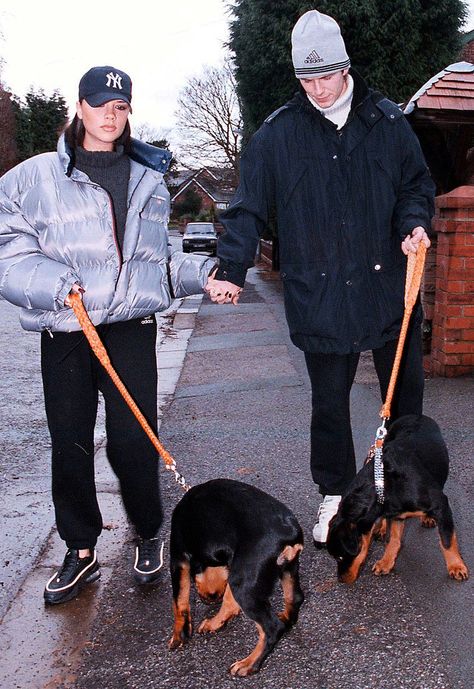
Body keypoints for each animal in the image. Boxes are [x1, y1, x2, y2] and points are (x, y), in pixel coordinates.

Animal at [168, 478, 306, 672]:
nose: (209, 599)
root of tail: (290, 533)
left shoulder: (178, 557)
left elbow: (179, 602)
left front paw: (178, 637)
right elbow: (229, 602)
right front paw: (215, 623)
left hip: (243, 584)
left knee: (272, 628)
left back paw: (249, 664)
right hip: (285, 570)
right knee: (295, 599)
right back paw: (285, 619)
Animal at [328, 416, 468, 584]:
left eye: (340, 557)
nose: (341, 580)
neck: (383, 483)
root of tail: (416, 416)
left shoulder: (441, 505)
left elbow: (447, 540)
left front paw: (456, 567)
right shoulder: (396, 513)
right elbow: (393, 539)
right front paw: (386, 563)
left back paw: (427, 518)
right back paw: (381, 528)